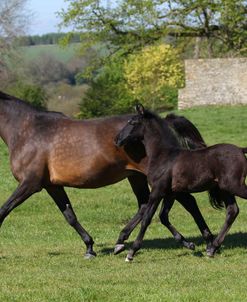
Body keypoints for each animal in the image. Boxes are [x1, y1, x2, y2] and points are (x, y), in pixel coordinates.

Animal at [0, 91, 212, 258]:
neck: (27, 130)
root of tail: (163, 122)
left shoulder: (30, 184)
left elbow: (3, 210)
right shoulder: (52, 185)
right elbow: (70, 215)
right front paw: (89, 247)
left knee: (187, 202)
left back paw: (207, 243)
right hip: (136, 176)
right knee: (145, 205)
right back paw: (123, 241)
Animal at [116, 105, 247, 260]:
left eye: (132, 122)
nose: (117, 139)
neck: (163, 155)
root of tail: (240, 150)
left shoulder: (157, 191)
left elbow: (147, 219)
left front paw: (131, 252)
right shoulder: (170, 193)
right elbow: (163, 217)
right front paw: (189, 244)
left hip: (234, 185)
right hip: (225, 188)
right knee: (232, 211)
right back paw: (212, 248)